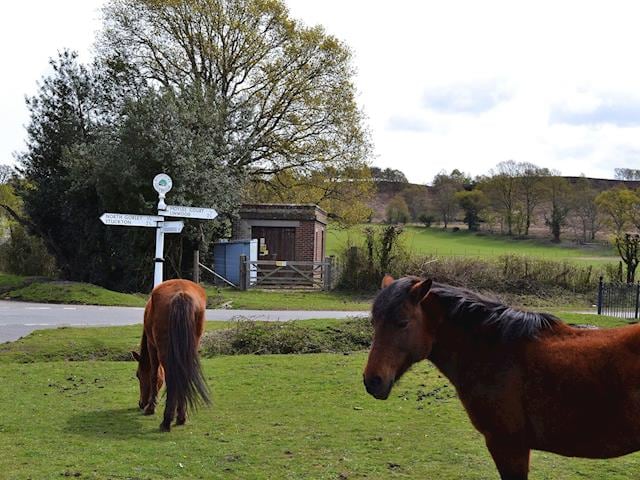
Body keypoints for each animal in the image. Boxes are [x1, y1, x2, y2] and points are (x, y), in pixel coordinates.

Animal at [131, 278, 211, 432]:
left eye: (138, 375)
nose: (141, 403)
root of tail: (181, 294)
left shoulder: (152, 346)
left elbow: (154, 375)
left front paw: (151, 408)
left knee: (172, 377)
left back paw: (166, 420)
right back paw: (180, 417)